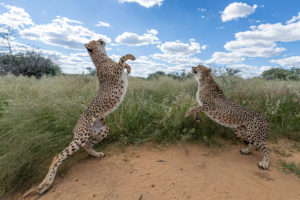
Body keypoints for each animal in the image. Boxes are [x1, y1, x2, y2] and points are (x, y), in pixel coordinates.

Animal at [22, 39, 135, 198]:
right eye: (95, 41)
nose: (101, 39)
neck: (101, 57)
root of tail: (76, 125)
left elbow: (122, 63)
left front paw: (129, 68)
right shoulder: (114, 75)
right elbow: (121, 59)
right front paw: (130, 57)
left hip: (102, 130)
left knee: (87, 145)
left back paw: (97, 154)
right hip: (81, 137)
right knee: (58, 156)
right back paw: (45, 184)